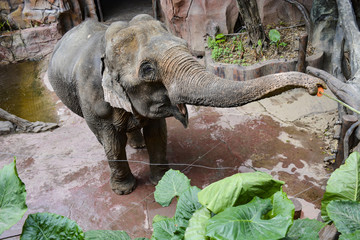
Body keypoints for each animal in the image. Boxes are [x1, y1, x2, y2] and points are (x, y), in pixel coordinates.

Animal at [48, 14, 326, 195]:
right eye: (147, 69)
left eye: (184, 45)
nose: (317, 87)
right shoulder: (94, 98)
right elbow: (112, 142)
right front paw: (125, 191)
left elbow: (158, 134)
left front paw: (162, 179)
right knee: (104, 137)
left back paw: (137, 145)